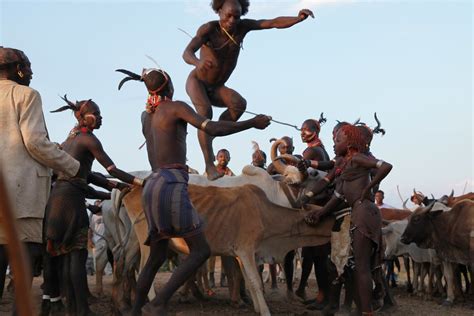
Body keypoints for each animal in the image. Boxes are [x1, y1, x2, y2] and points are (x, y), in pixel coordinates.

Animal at [122, 184, 334, 314]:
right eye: (324, 215)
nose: (337, 226)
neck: (264, 213)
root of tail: (134, 188)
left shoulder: (242, 254)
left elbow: (248, 281)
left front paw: (257, 308)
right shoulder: (246, 250)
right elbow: (255, 281)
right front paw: (265, 311)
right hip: (148, 243)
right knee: (143, 271)